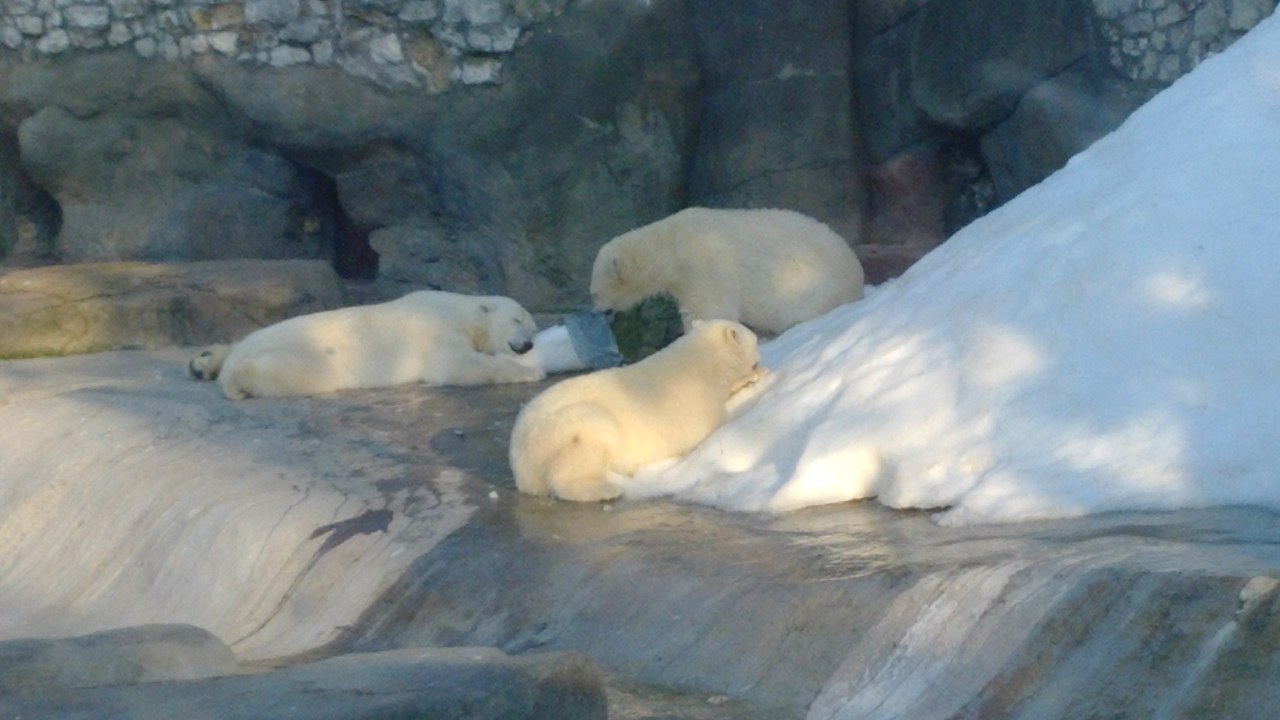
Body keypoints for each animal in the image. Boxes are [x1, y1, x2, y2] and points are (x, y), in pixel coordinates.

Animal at [186, 286, 542, 397]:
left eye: (534, 327)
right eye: (517, 320)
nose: (528, 345)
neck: (460, 311)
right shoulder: (436, 329)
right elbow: (457, 366)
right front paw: (530, 372)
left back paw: (203, 362)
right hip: (314, 359)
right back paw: (235, 379)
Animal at [509, 316, 762, 502]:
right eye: (756, 341)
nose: (759, 355)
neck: (699, 364)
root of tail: (519, 461)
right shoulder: (693, 402)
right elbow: (709, 424)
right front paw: (751, 379)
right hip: (563, 429)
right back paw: (605, 490)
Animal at [586, 204, 865, 333]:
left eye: (594, 293)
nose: (598, 311)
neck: (671, 245)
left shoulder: (703, 263)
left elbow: (710, 310)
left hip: (812, 289)